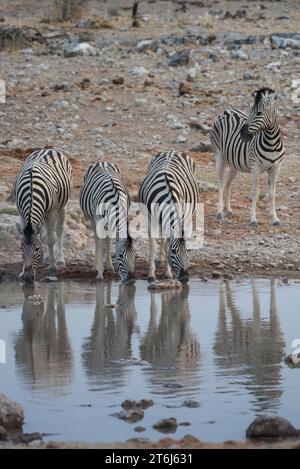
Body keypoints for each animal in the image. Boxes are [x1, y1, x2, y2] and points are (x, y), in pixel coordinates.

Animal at [14, 148, 72, 282]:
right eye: (21, 249)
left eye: (36, 249)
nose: (27, 277)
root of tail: (48, 149)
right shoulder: (21, 211)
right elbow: (43, 237)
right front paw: (21, 272)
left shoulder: (52, 211)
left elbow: (51, 239)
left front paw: (53, 268)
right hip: (43, 214)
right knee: (44, 233)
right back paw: (47, 257)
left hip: (62, 205)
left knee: (59, 230)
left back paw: (60, 260)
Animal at [139, 150, 199, 282]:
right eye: (174, 251)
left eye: (186, 251)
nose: (185, 278)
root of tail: (172, 151)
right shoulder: (151, 218)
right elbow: (153, 245)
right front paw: (151, 274)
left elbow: (167, 242)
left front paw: (167, 273)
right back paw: (160, 258)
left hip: (188, 213)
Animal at [210, 89, 284, 227]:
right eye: (250, 111)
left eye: (259, 113)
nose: (242, 134)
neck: (271, 142)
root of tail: (227, 110)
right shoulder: (255, 168)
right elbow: (255, 193)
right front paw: (253, 219)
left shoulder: (276, 168)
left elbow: (272, 194)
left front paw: (275, 218)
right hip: (219, 157)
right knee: (221, 184)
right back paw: (219, 212)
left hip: (234, 164)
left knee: (228, 184)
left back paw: (228, 209)